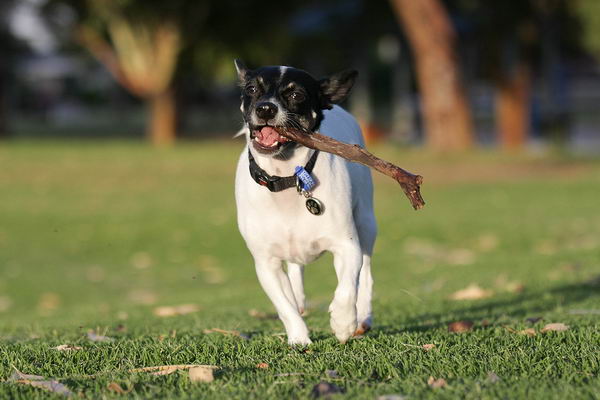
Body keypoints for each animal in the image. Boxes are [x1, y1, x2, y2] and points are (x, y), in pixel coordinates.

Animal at [233, 61, 376, 346]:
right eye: (252, 89)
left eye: (296, 94)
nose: (265, 108)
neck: (287, 177)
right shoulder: (266, 263)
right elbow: (284, 305)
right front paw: (299, 338)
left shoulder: (347, 246)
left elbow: (346, 288)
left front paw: (343, 322)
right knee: (295, 273)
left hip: (366, 222)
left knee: (365, 273)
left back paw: (362, 317)